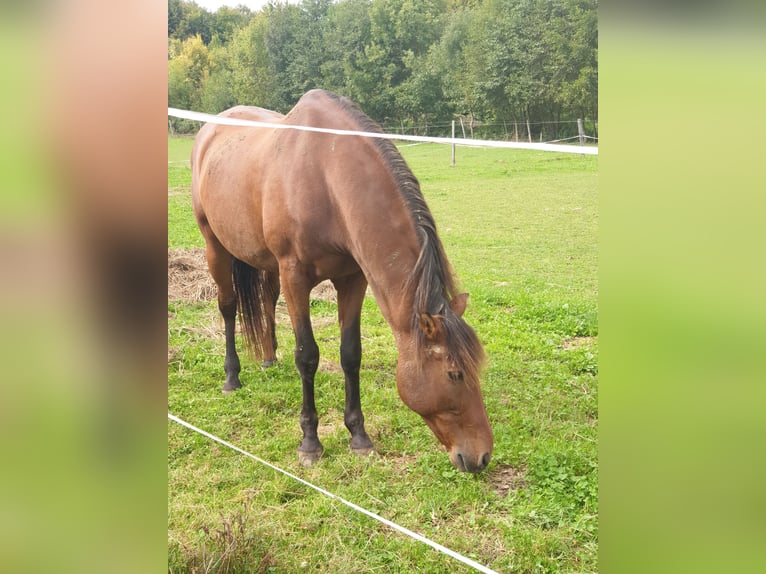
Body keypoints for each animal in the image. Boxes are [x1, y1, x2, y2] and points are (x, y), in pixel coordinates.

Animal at [190, 90, 496, 474]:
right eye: (455, 374)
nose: (481, 456)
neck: (326, 178)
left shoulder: (352, 279)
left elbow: (351, 354)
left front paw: (359, 437)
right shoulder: (295, 276)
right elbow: (307, 356)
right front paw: (310, 443)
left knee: (267, 299)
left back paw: (269, 357)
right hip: (215, 246)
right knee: (228, 307)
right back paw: (232, 377)